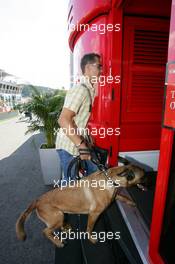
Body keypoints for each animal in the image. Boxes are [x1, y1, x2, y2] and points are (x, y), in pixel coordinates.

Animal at [16, 165, 145, 248]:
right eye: (143, 176)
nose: (149, 182)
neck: (110, 179)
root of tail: (37, 200)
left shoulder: (115, 196)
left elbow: (122, 197)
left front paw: (131, 202)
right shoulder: (94, 214)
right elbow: (89, 228)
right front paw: (91, 239)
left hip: (60, 215)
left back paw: (65, 228)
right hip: (57, 216)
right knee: (45, 231)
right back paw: (58, 242)